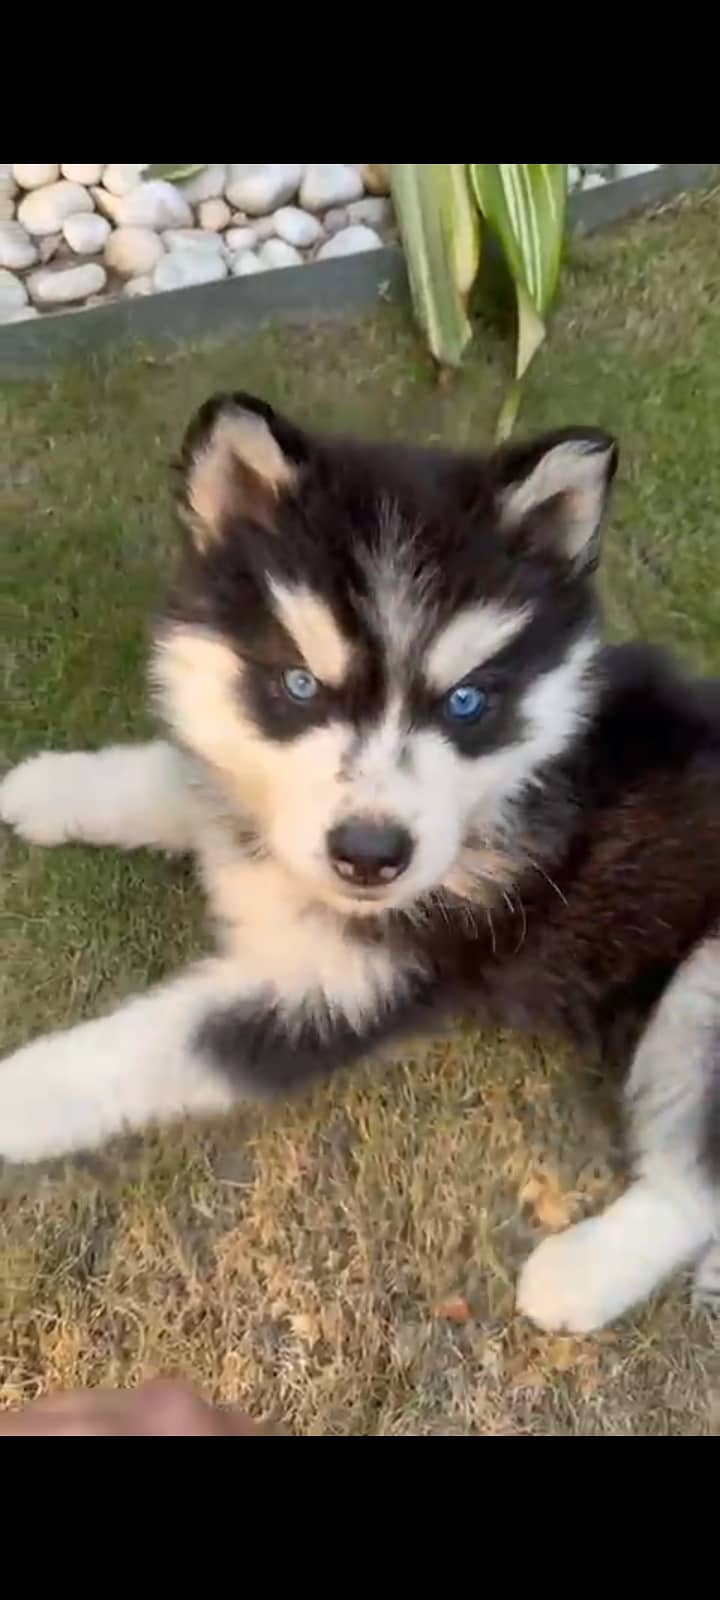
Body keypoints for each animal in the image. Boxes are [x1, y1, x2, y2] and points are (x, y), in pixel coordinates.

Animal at [1, 393, 720, 1331]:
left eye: (466, 702)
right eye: (300, 686)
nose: (371, 858)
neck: (525, 783)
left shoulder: (331, 993)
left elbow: (138, 1048)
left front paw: (10, 1095)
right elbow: (184, 777)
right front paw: (53, 786)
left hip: (707, 986)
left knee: (696, 1182)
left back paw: (581, 1272)